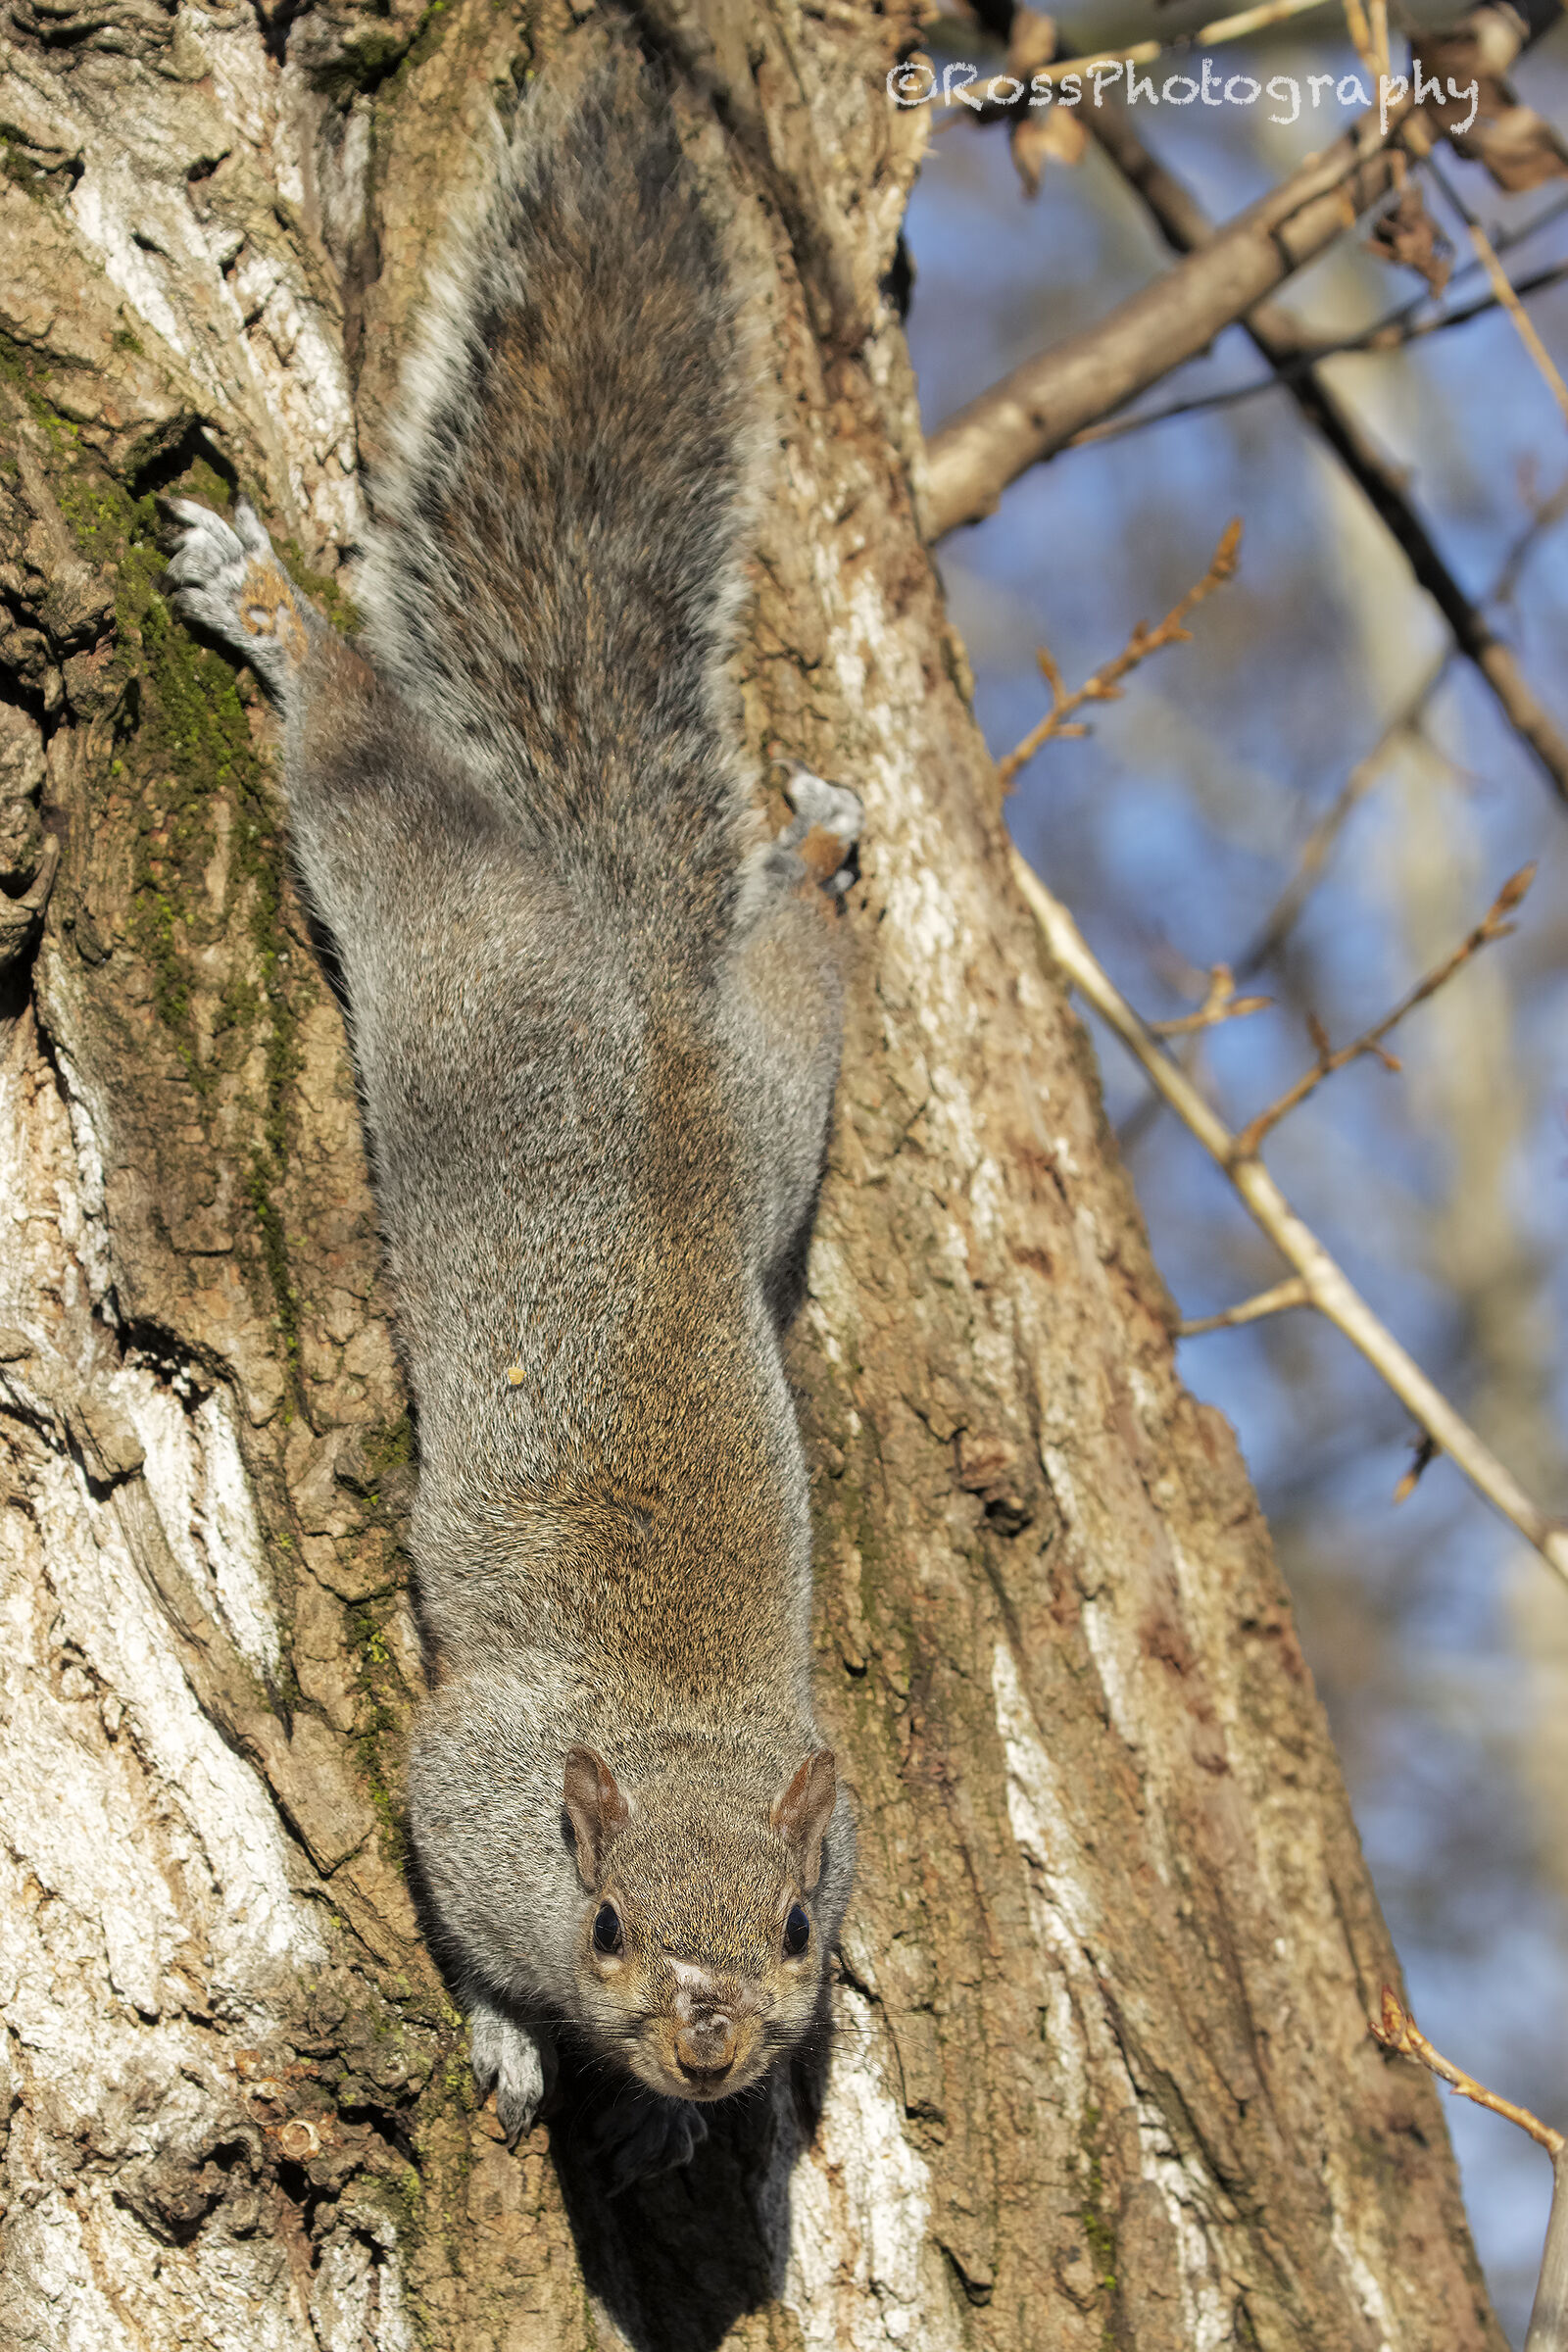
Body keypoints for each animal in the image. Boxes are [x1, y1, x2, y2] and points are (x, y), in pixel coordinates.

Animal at [165, 39, 860, 2183]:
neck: (676, 1725)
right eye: (610, 1920)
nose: (713, 2049)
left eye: (799, 1928)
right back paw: (273, 617)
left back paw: (818, 859)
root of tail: (619, 961)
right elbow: (461, 1925)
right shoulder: (457, 1771)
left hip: (769, 1107)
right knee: (363, 776)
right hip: (444, 933)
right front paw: (510, 2038)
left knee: (797, 991)